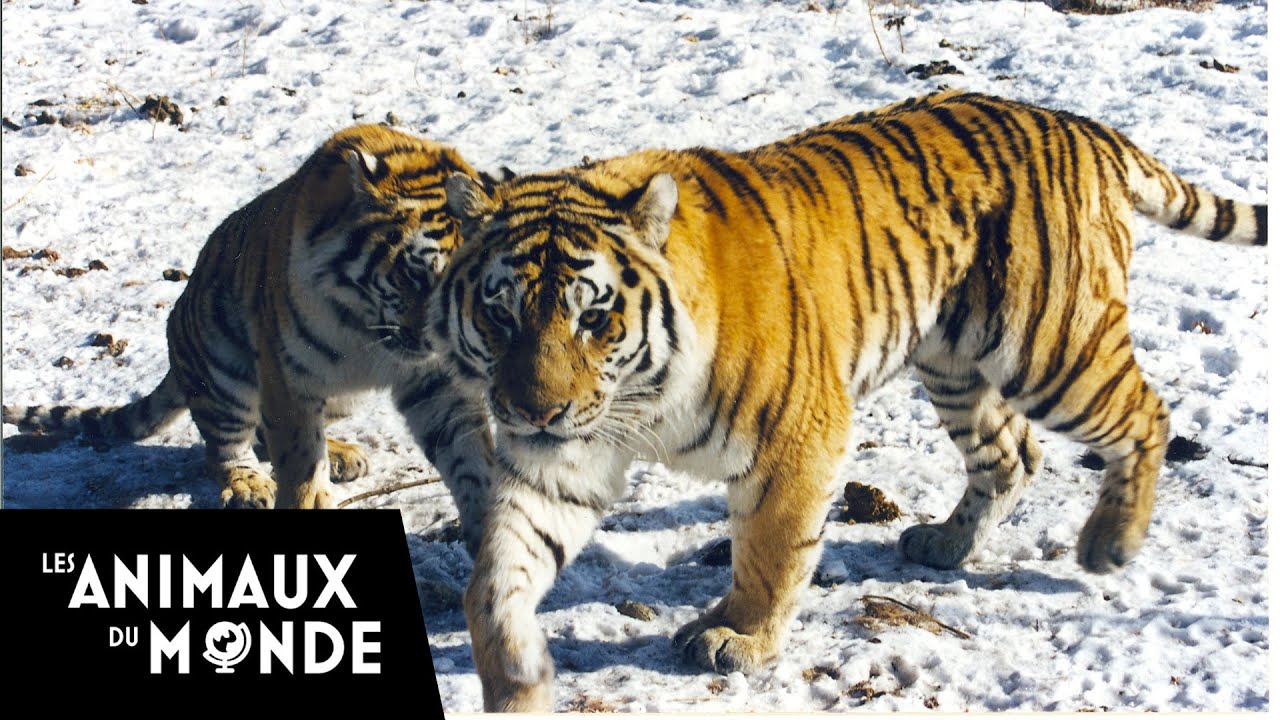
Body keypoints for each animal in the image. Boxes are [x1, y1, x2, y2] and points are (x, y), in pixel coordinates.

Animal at [4, 124, 504, 537]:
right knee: (224, 450)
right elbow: (299, 462)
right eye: (411, 274)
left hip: (339, 397)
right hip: (224, 366)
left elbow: (470, 459)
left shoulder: (437, 384)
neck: (369, 329)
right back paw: (250, 485)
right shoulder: (288, 374)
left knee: (267, 433)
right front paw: (306, 498)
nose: (436, 344)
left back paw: (340, 455)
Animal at [431, 90, 1267, 711]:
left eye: (594, 319)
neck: (639, 395)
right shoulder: (566, 457)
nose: (534, 412)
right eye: (501, 315)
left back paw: (1110, 542)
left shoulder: (797, 436)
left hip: (1053, 344)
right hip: (955, 363)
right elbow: (503, 569)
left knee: (1146, 413)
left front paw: (739, 638)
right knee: (1013, 454)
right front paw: (514, 669)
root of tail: (1082, 126)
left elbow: (771, 549)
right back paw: (946, 544)